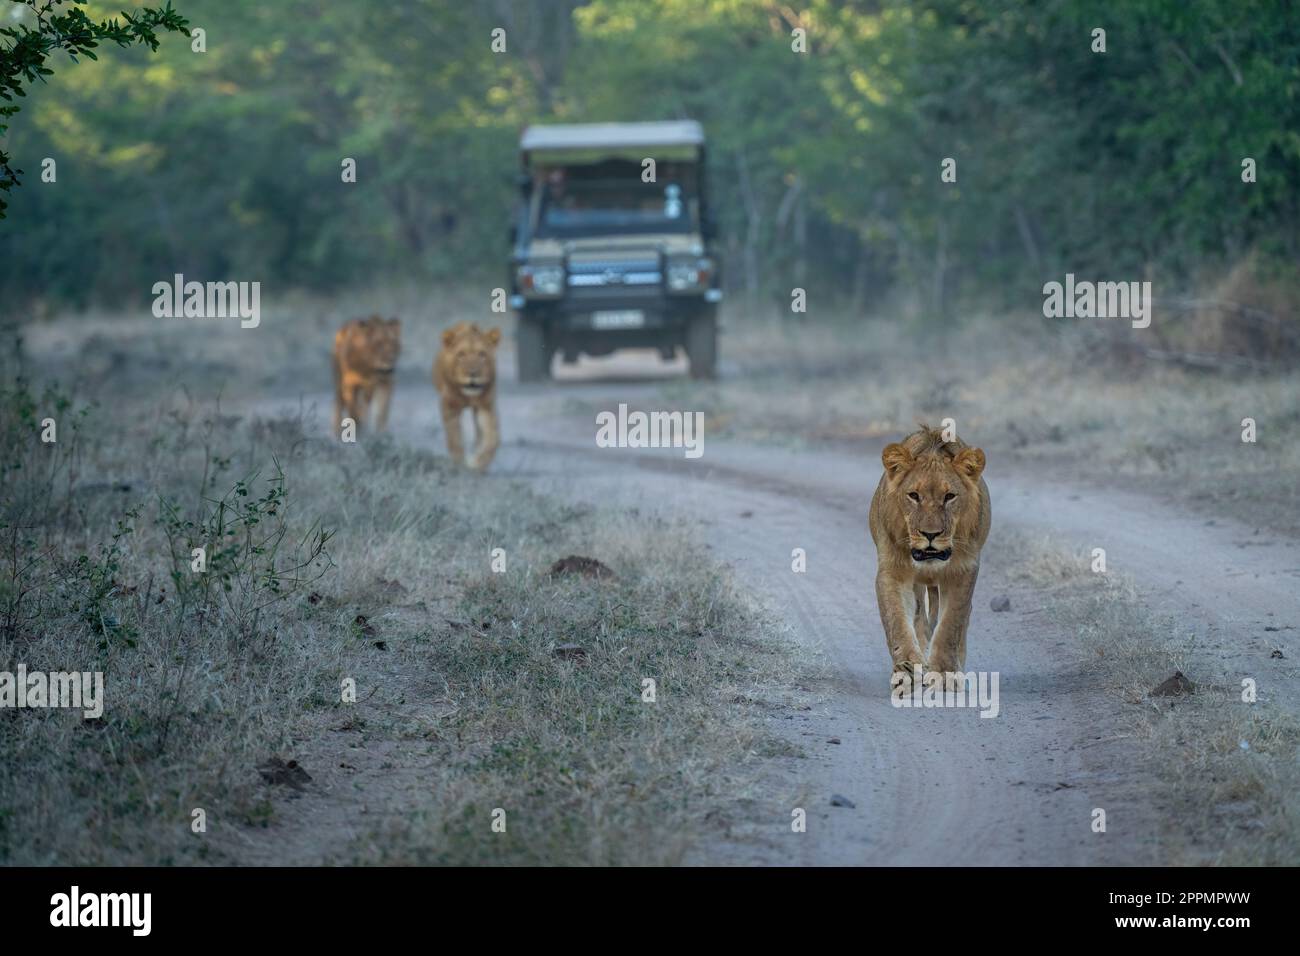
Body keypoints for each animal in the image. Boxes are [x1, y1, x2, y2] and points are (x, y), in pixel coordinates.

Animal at [433, 322, 501, 472]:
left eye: (482, 354)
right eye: (461, 354)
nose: (473, 373)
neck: (469, 397)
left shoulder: (486, 407)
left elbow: (493, 439)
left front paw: (477, 463)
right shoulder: (449, 405)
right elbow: (454, 436)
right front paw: (459, 463)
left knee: (479, 434)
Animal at [868, 424, 991, 687]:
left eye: (950, 496)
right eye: (913, 495)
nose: (930, 534)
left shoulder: (963, 570)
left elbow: (951, 624)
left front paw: (945, 672)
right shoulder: (892, 570)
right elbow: (896, 619)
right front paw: (907, 669)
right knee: (919, 618)